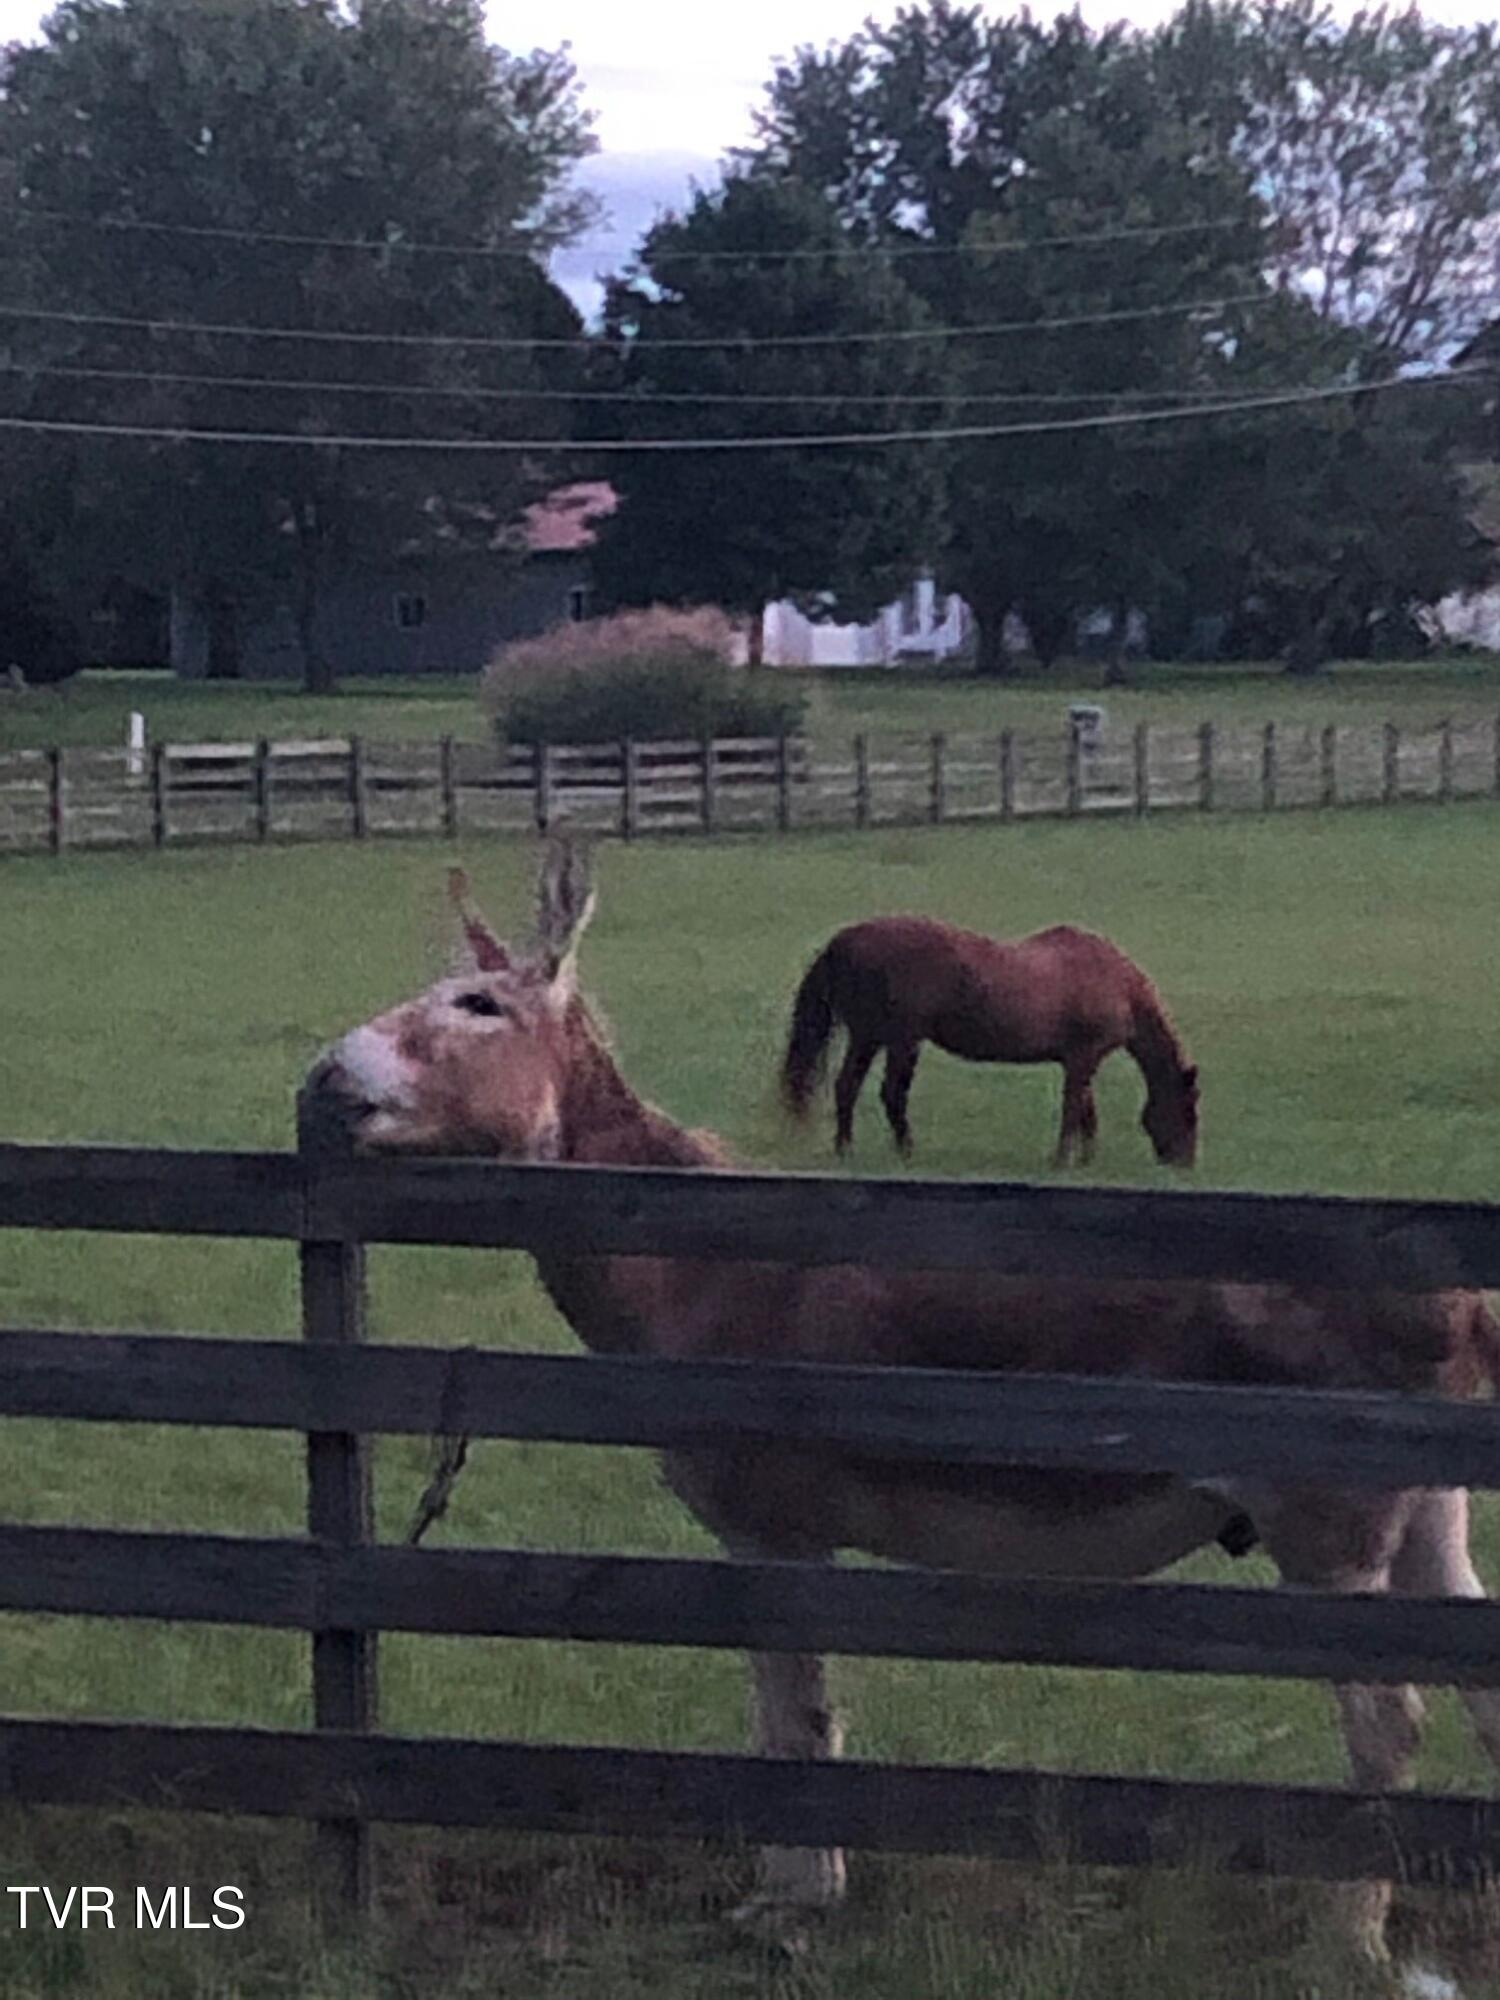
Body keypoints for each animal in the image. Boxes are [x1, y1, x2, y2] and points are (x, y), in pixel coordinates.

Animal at [781, 916, 1199, 1168]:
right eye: (1189, 1109)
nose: (1184, 1164)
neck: (1116, 983)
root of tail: (844, 940)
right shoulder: (1083, 1058)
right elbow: (1073, 1109)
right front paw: (1064, 1160)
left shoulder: (1079, 1061)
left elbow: (1085, 1109)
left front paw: (1085, 1159)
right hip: (902, 1040)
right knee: (892, 1093)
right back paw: (906, 1150)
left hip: (868, 1038)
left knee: (847, 1087)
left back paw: (846, 1149)